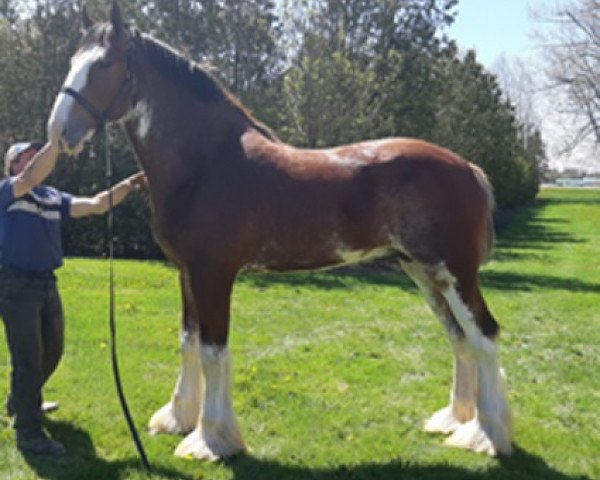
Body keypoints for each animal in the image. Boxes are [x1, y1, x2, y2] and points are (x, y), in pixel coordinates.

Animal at [49, 1, 512, 462]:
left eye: (104, 64)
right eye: (71, 62)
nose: (59, 132)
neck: (206, 163)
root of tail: (466, 167)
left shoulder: (213, 274)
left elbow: (213, 351)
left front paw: (210, 440)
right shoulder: (186, 273)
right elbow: (187, 341)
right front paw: (177, 418)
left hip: (453, 271)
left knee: (483, 335)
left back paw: (485, 435)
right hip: (423, 271)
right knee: (459, 336)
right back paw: (454, 420)